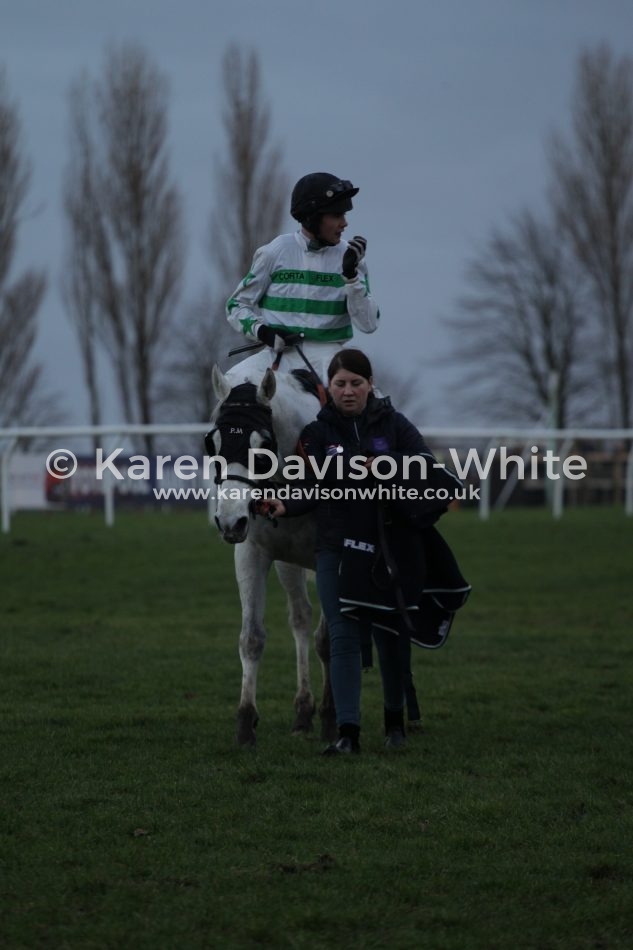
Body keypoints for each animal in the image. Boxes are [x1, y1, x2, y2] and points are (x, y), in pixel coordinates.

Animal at [208, 359, 336, 747]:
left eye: (262, 445)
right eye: (213, 443)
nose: (229, 520)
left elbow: (329, 639)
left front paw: (331, 719)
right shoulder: (252, 553)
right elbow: (252, 638)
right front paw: (245, 723)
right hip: (288, 563)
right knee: (300, 617)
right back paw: (303, 711)